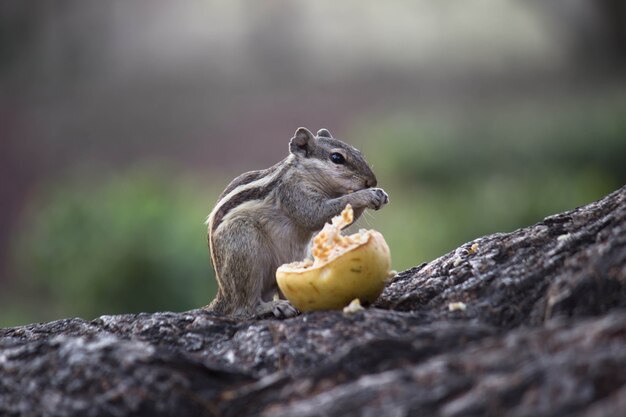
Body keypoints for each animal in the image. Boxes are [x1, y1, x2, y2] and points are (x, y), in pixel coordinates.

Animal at [207, 127, 388, 318]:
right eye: (337, 158)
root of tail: (223, 298)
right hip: (243, 248)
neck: (304, 173)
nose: (371, 181)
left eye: (359, 152)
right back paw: (273, 306)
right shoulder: (293, 193)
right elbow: (315, 215)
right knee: (246, 306)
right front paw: (366, 195)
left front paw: (380, 193)